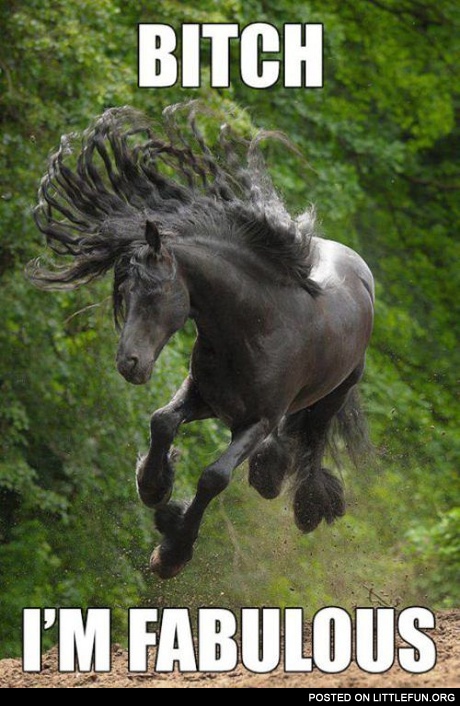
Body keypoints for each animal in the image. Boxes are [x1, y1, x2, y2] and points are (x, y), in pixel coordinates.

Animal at [29, 103, 374, 579]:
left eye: (154, 292)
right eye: (123, 292)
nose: (128, 363)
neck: (255, 329)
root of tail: (359, 268)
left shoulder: (256, 420)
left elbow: (214, 477)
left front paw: (172, 553)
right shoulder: (205, 395)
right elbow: (161, 421)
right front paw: (154, 487)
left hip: (334, 392)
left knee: (314, 441)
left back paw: (305, 504)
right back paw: (267, 474)